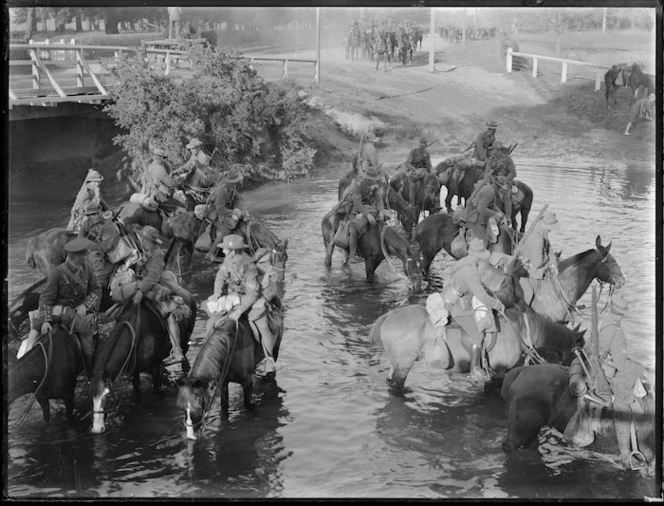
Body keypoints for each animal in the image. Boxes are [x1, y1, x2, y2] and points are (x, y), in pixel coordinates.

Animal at [89, 296, 196, 434]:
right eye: (92, 397)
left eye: (107, 395)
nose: (97, 428)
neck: (137, 335)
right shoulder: (135, 370)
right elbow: (137, 390)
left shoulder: (156, 367)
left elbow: (157, 392)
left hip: (185, 345)